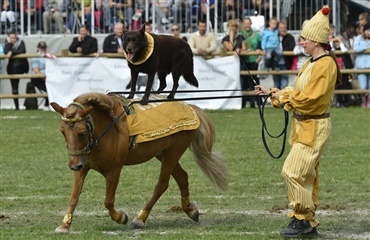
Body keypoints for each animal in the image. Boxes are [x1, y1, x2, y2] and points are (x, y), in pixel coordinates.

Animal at [50, 92, 227, 234]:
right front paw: (64, 226)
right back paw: (190, 210)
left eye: (81, 132)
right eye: (62, 131)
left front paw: (121, 217)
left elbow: (108, 201)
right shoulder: (82, 168)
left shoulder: (114, 170)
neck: (106, 129)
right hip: (163, 153)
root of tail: (190, 106)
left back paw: (140, 219)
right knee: (182, 177)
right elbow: (73, 197)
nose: (73, 164)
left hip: (173, 152)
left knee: (162, 185)